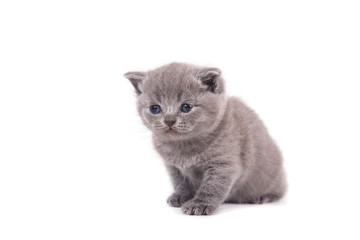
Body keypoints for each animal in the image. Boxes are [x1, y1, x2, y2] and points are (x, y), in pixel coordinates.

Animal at [124, 62, 286, 216]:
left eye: (186, 107)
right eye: (155, 108)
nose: (169, 120)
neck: (183, 147)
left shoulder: (224, 164)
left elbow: (212, 186)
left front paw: (199, 204)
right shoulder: (173, 167)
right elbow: (181, 183)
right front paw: (181, 196)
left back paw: (262, 196)